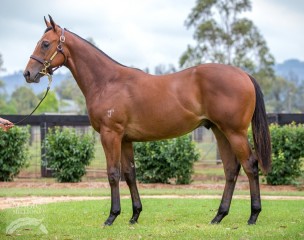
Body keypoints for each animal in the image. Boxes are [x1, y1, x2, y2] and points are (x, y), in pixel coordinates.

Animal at [23, 15, 270, 226]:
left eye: (45, 43)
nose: (28, 74)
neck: (107, 82)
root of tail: (244, 75)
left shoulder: (110, 135)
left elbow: (113, 174)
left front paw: (112, 216)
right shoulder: (125, 139)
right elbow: (130, 174)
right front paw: (134, 215)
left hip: (235, 132)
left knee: (250, 165)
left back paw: (253, 215)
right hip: (220, 131)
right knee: (230, 169)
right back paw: (219, 216)